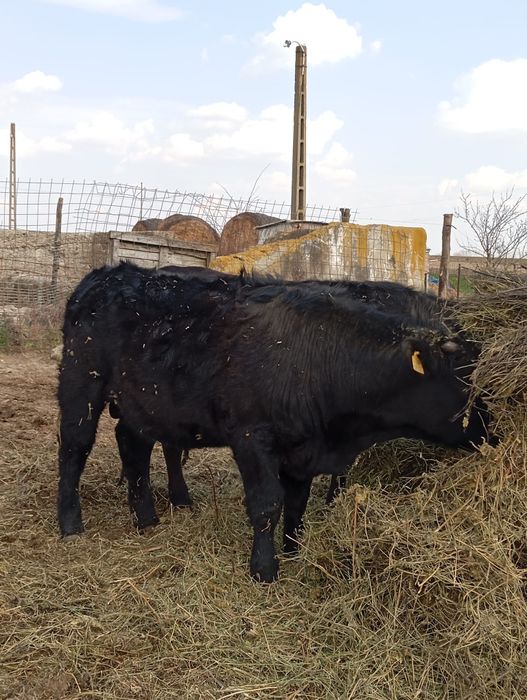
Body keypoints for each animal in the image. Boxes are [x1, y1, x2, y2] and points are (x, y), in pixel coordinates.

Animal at [58, 263, 492, 582]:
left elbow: (297, 504)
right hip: (82, 381)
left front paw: (295, 551)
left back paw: (147, 518)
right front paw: (264, 570)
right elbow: (268, 503)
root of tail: (109, 273)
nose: (495, 431)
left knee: (133, 444)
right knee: (74, 447)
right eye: (469, 381)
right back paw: (70, 522)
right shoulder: (253, 437)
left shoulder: (303, 448)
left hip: (142, 401)